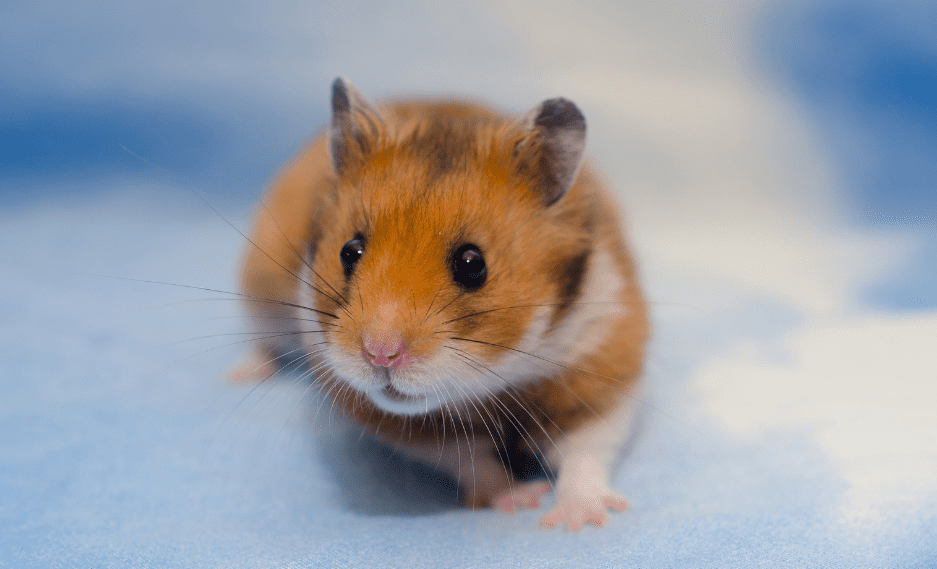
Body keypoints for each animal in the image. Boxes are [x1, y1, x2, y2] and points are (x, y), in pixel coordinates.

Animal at [232, 77, 649, 531]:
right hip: (261, 291)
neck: (499, 378)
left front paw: (578, 521)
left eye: (472, 264)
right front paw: (520, 500)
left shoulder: (603, 368)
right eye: (349, 251)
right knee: (260, 341)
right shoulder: (404, 425)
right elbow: (472, 461)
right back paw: (240, 376)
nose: (380, 355)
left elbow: (585, 450)